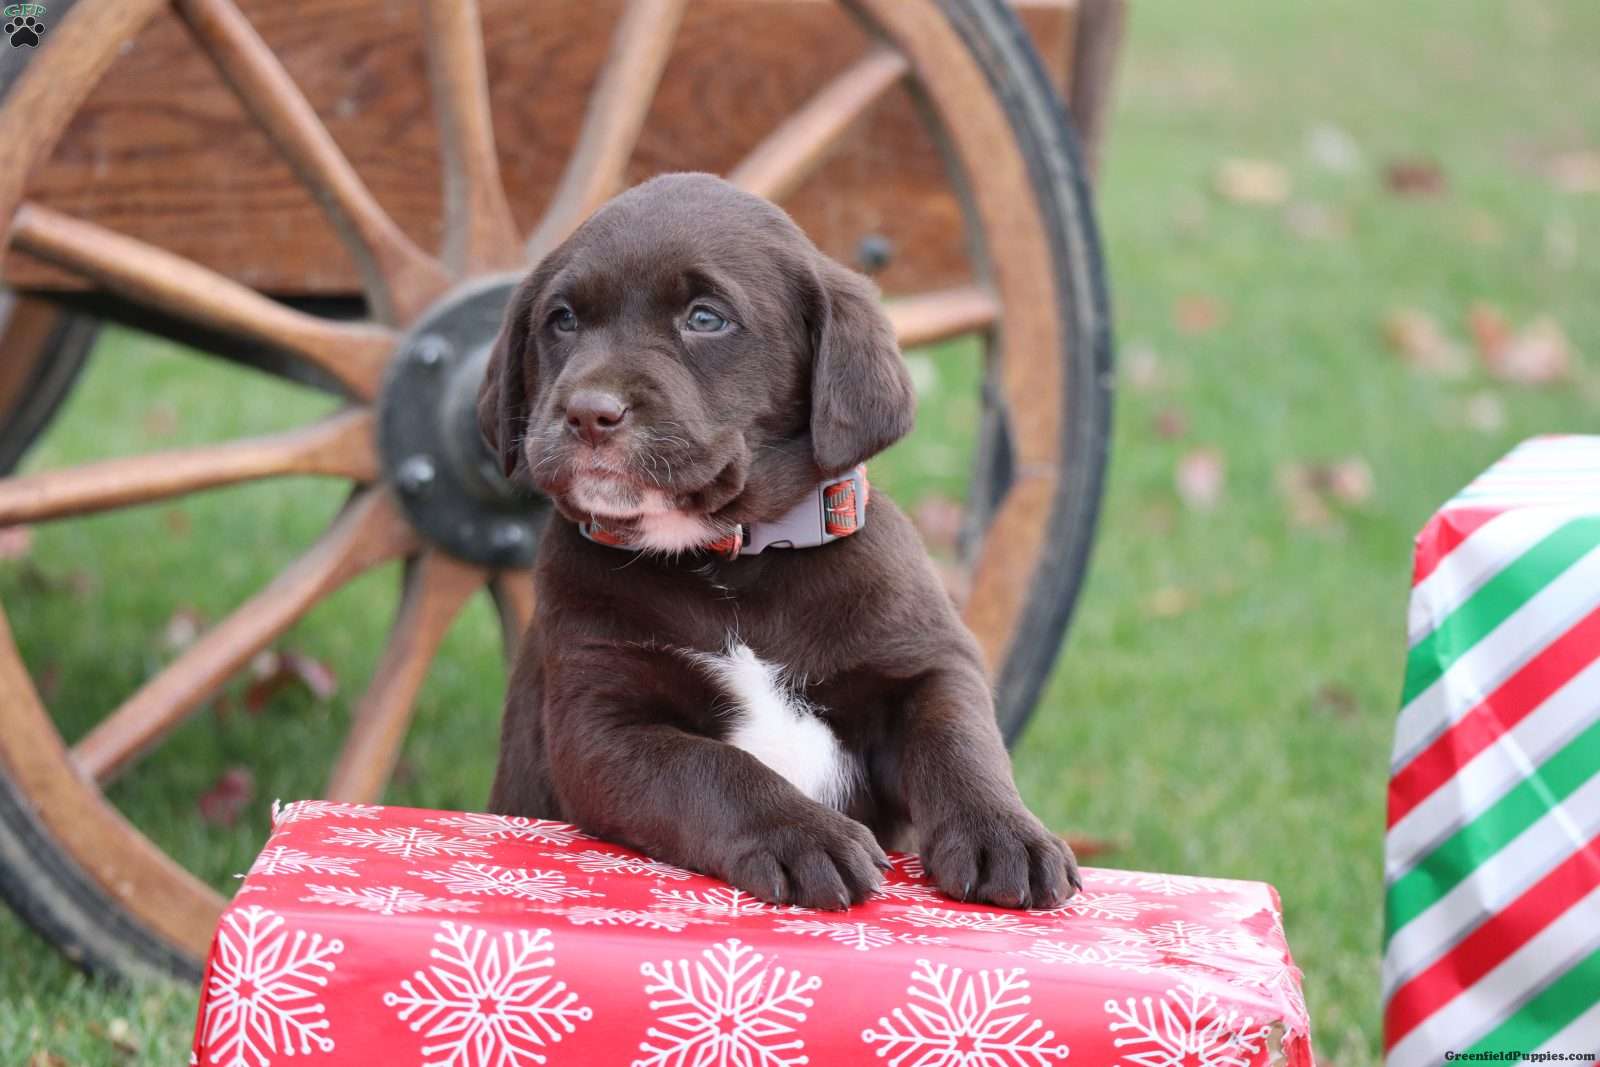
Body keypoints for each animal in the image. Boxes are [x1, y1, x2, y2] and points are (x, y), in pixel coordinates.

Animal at [479, 173, 1078, 911]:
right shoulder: (600, 724)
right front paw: (803, 834)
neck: (733, 560)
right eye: (561, 319)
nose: (589, 412)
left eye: (706, 318)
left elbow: (961, 739)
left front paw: (1006, 834)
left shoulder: (929, 661)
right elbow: (710, 766)